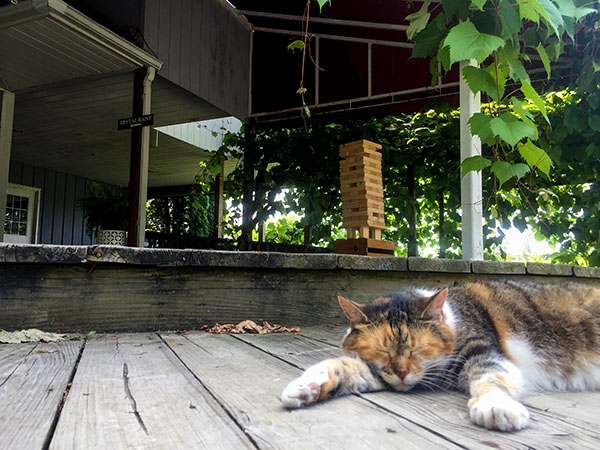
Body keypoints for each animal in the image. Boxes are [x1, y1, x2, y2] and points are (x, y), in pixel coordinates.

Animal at [280, 280, 600, 430]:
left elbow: (489, 378)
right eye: (383, 350)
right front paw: (305, 387)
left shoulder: (483, 352)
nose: (402, 373)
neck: (454, 320)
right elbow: (341, 365)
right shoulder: (377, 372)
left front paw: (496, 407)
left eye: (417, 348)